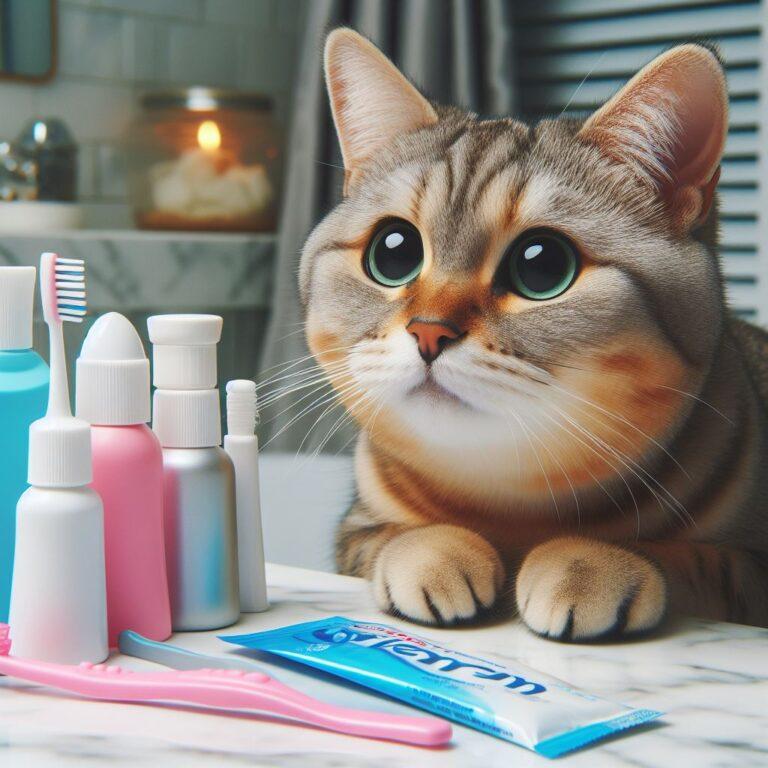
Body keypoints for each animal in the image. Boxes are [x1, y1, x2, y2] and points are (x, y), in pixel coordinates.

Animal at [296, 28, 768, 640]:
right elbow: (387, 538)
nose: (428, 332)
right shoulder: (353, 531)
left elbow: (695, 557)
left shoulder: (752, 569)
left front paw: (591, 561)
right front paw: (432, 550)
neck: (509, 501)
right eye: (392, 251)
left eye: (542, 266)